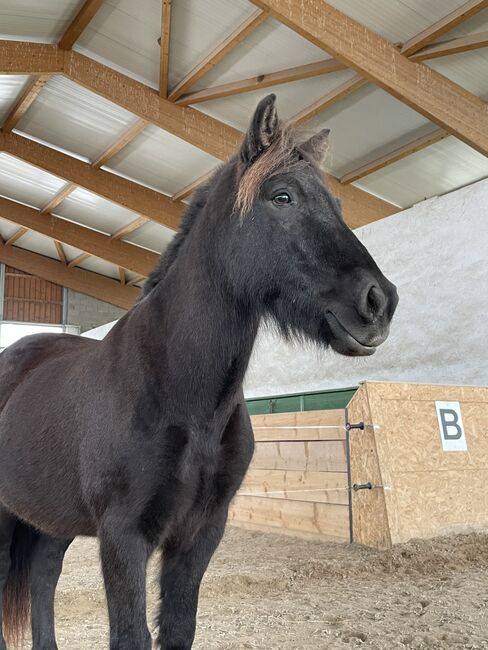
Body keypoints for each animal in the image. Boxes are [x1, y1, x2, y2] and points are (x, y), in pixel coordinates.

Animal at [0, 95, 396, 648]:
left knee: (43, 577)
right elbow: (131, 635)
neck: (178, 394)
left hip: (52, 519)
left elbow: (178, 629)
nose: (379, 302)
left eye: (338, 207)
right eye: (282, 196)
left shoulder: (199, 535)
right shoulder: (123, 538)